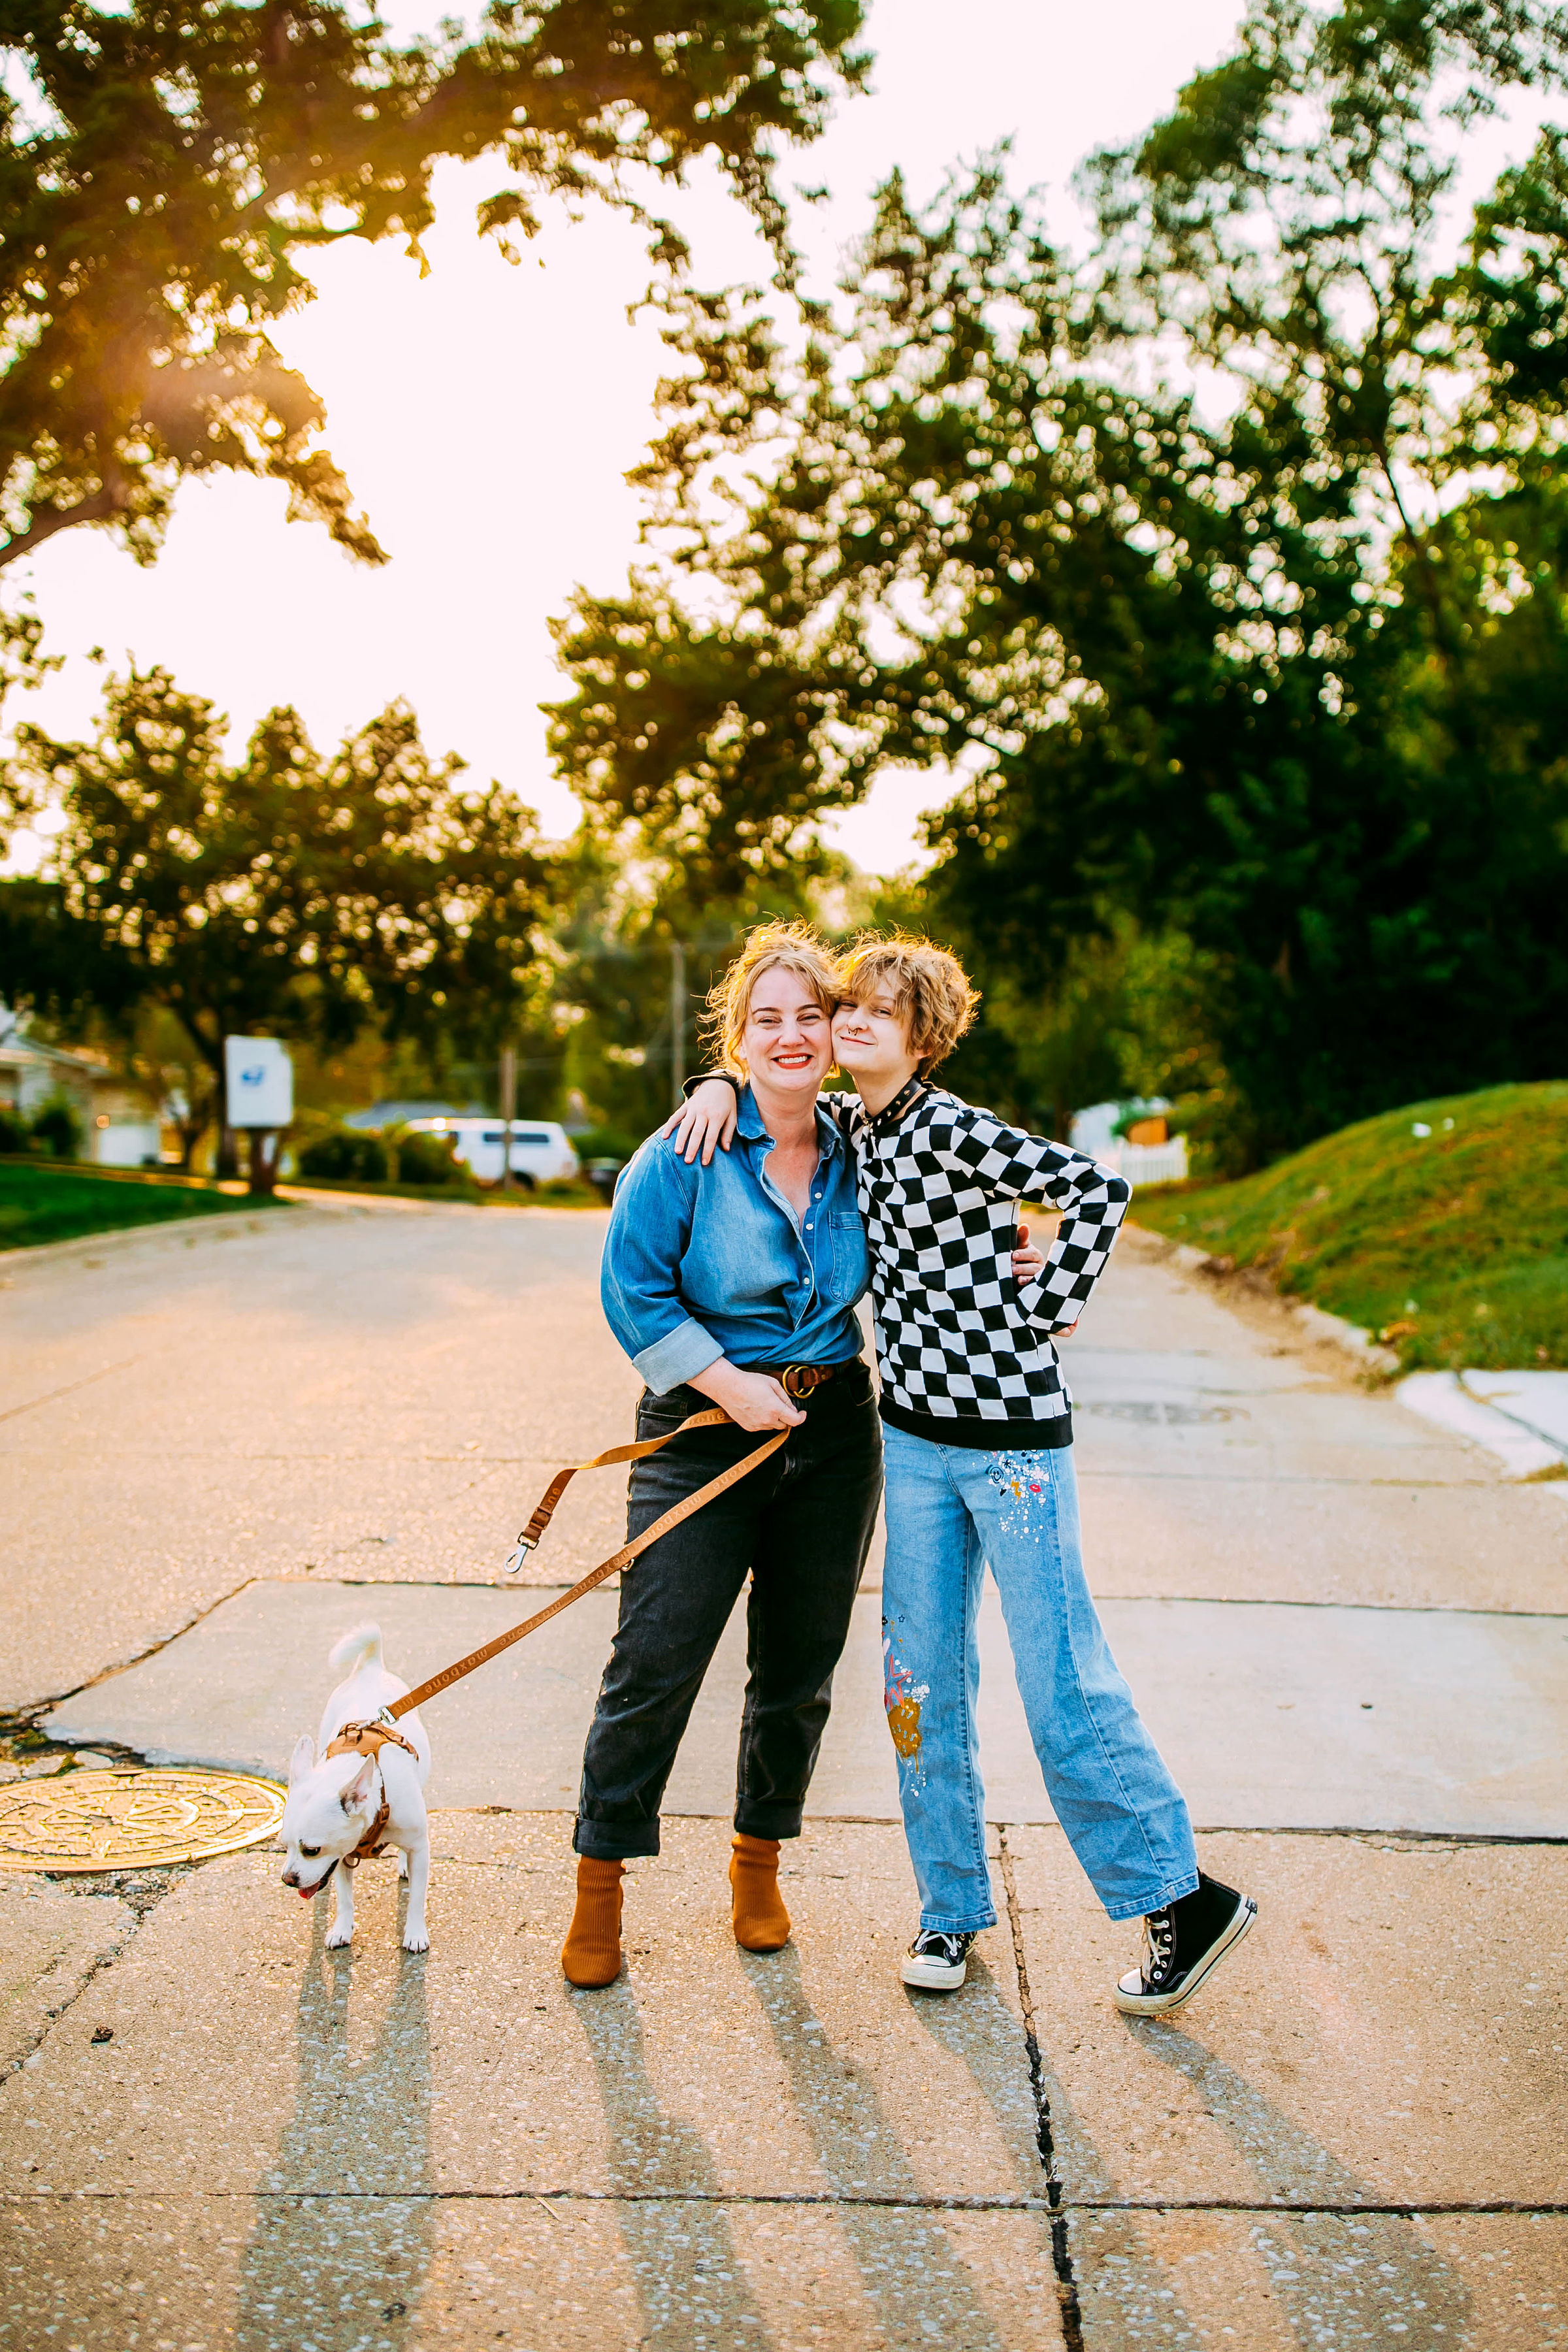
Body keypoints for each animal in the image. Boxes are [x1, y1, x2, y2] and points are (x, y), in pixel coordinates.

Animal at [278, 1627, 433, 1957]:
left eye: (312, 1850)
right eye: (284, 1846)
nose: (287, 1880)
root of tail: (370, 1667)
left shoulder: (420, 1848)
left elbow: (416, 1897)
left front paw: (415, 1932)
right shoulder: (340, 1857)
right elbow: (345, 1897)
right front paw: (342, 1928)